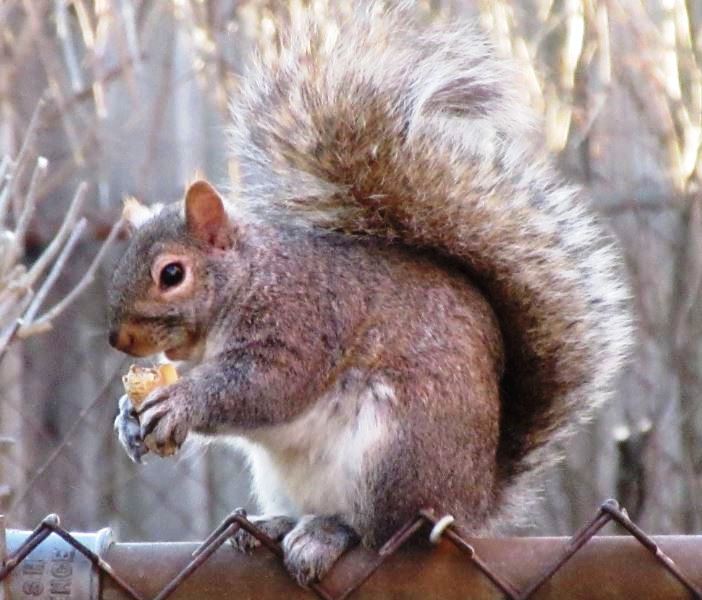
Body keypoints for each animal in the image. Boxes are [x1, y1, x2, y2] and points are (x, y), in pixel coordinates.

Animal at [108, 3, 631, 586]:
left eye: (172, 274)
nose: (119, 338)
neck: (251, 278)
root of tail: (472, 503)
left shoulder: (302, 319)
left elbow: (266, 387)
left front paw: (181, 401)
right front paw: (128, 419)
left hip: (395, 456)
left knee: (380, 532)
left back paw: (327, 535)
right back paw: (274, 524)